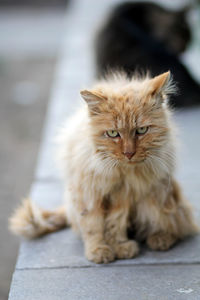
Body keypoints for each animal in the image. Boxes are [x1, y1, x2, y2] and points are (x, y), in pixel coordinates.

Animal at [9, 71, 197, 264]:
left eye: (142, 130)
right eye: (113, 133)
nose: (129, 153)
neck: (119, 172)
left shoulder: (123, 196)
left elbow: (115, 223)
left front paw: (120, 247)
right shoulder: (88, 194)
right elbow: (93, 226)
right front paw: (98, 250)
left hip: (158, 198)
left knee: (179, 225)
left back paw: (160, 238)